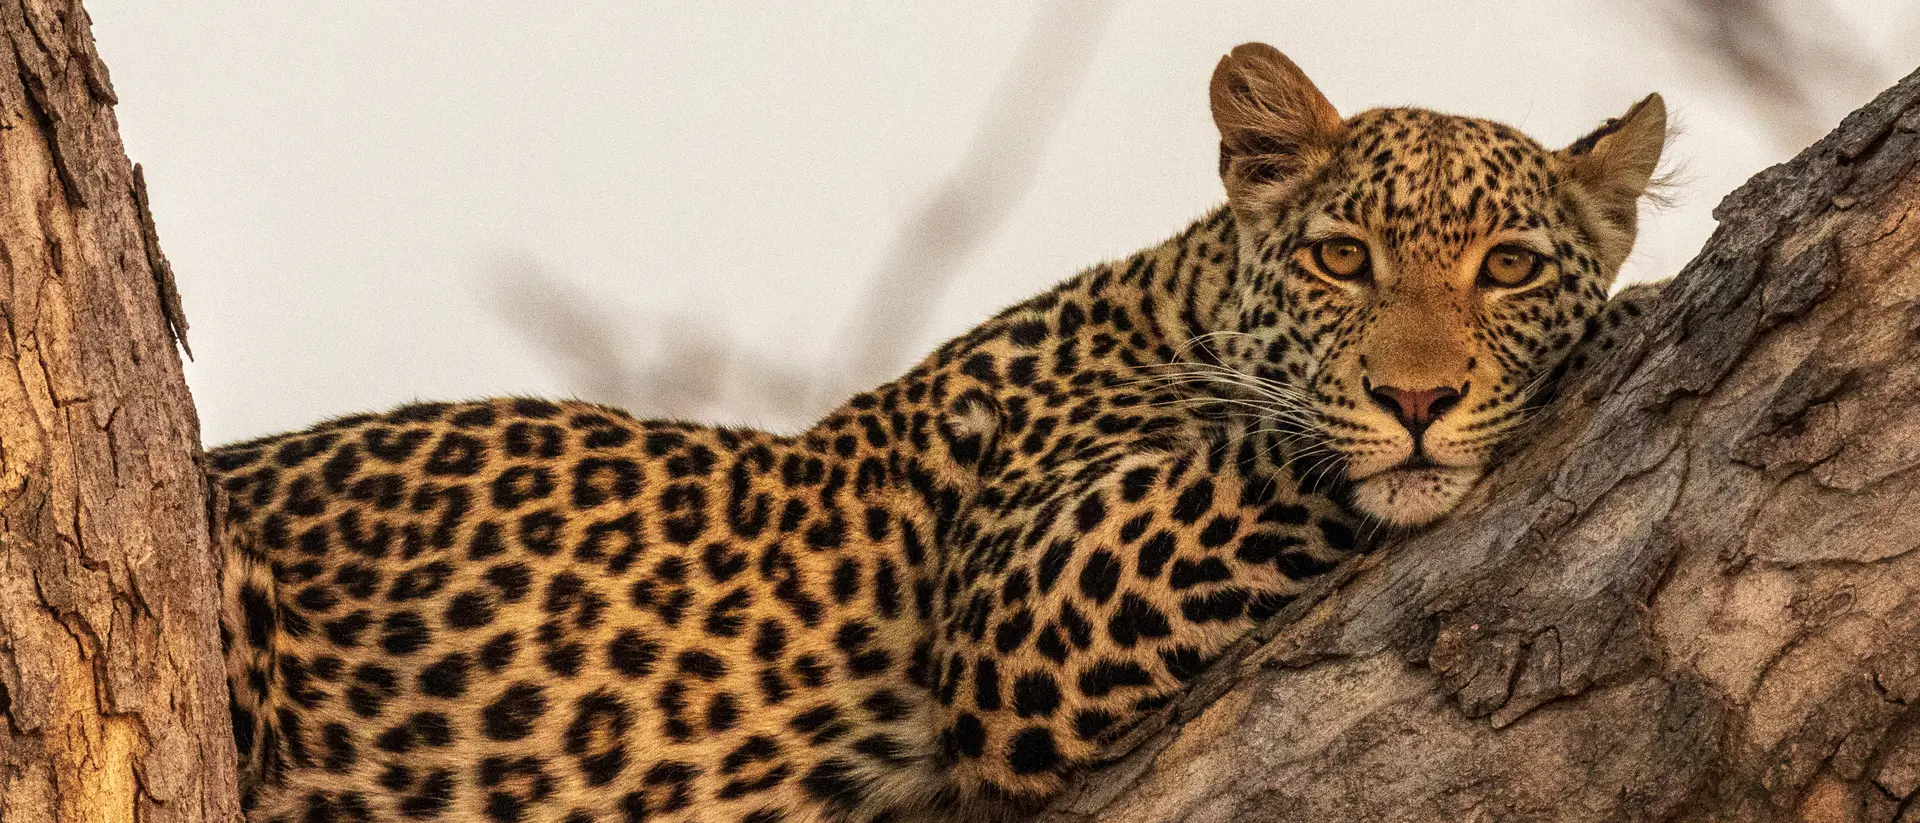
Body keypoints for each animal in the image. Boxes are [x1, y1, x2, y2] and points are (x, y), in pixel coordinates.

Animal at [210, 43, 1670, 823]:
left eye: (1508, 267)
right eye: (1342, 256)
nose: (1417, 399)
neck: (1179, 301)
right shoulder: (1033, 600)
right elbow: (1287, 449)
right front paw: (1628, 316)